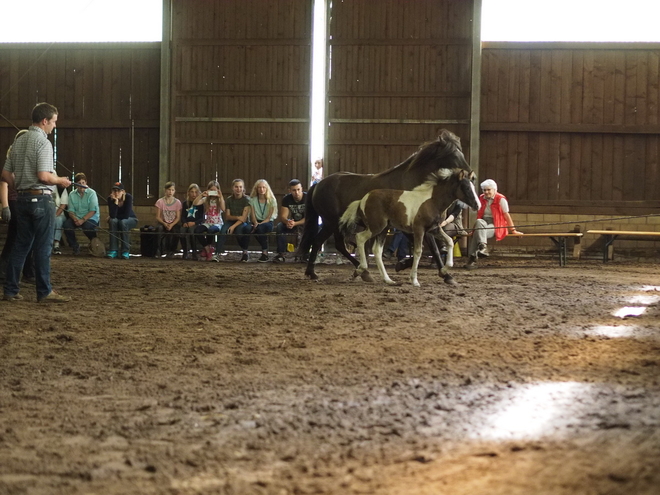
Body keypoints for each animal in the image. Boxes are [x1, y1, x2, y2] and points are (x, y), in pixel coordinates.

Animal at [340, 170, 480, 286]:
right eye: (466, 187)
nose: (477, 205)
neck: (432, 201)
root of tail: (362, 199)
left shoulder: (434, 229)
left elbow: (450, 241)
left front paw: (444, 270)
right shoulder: (419, 229)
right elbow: (418, 251)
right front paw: (414, 280)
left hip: (384, 229)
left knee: (377, 251)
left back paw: (388, 280)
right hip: (376, 227)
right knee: (360, 238)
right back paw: (360, 269)